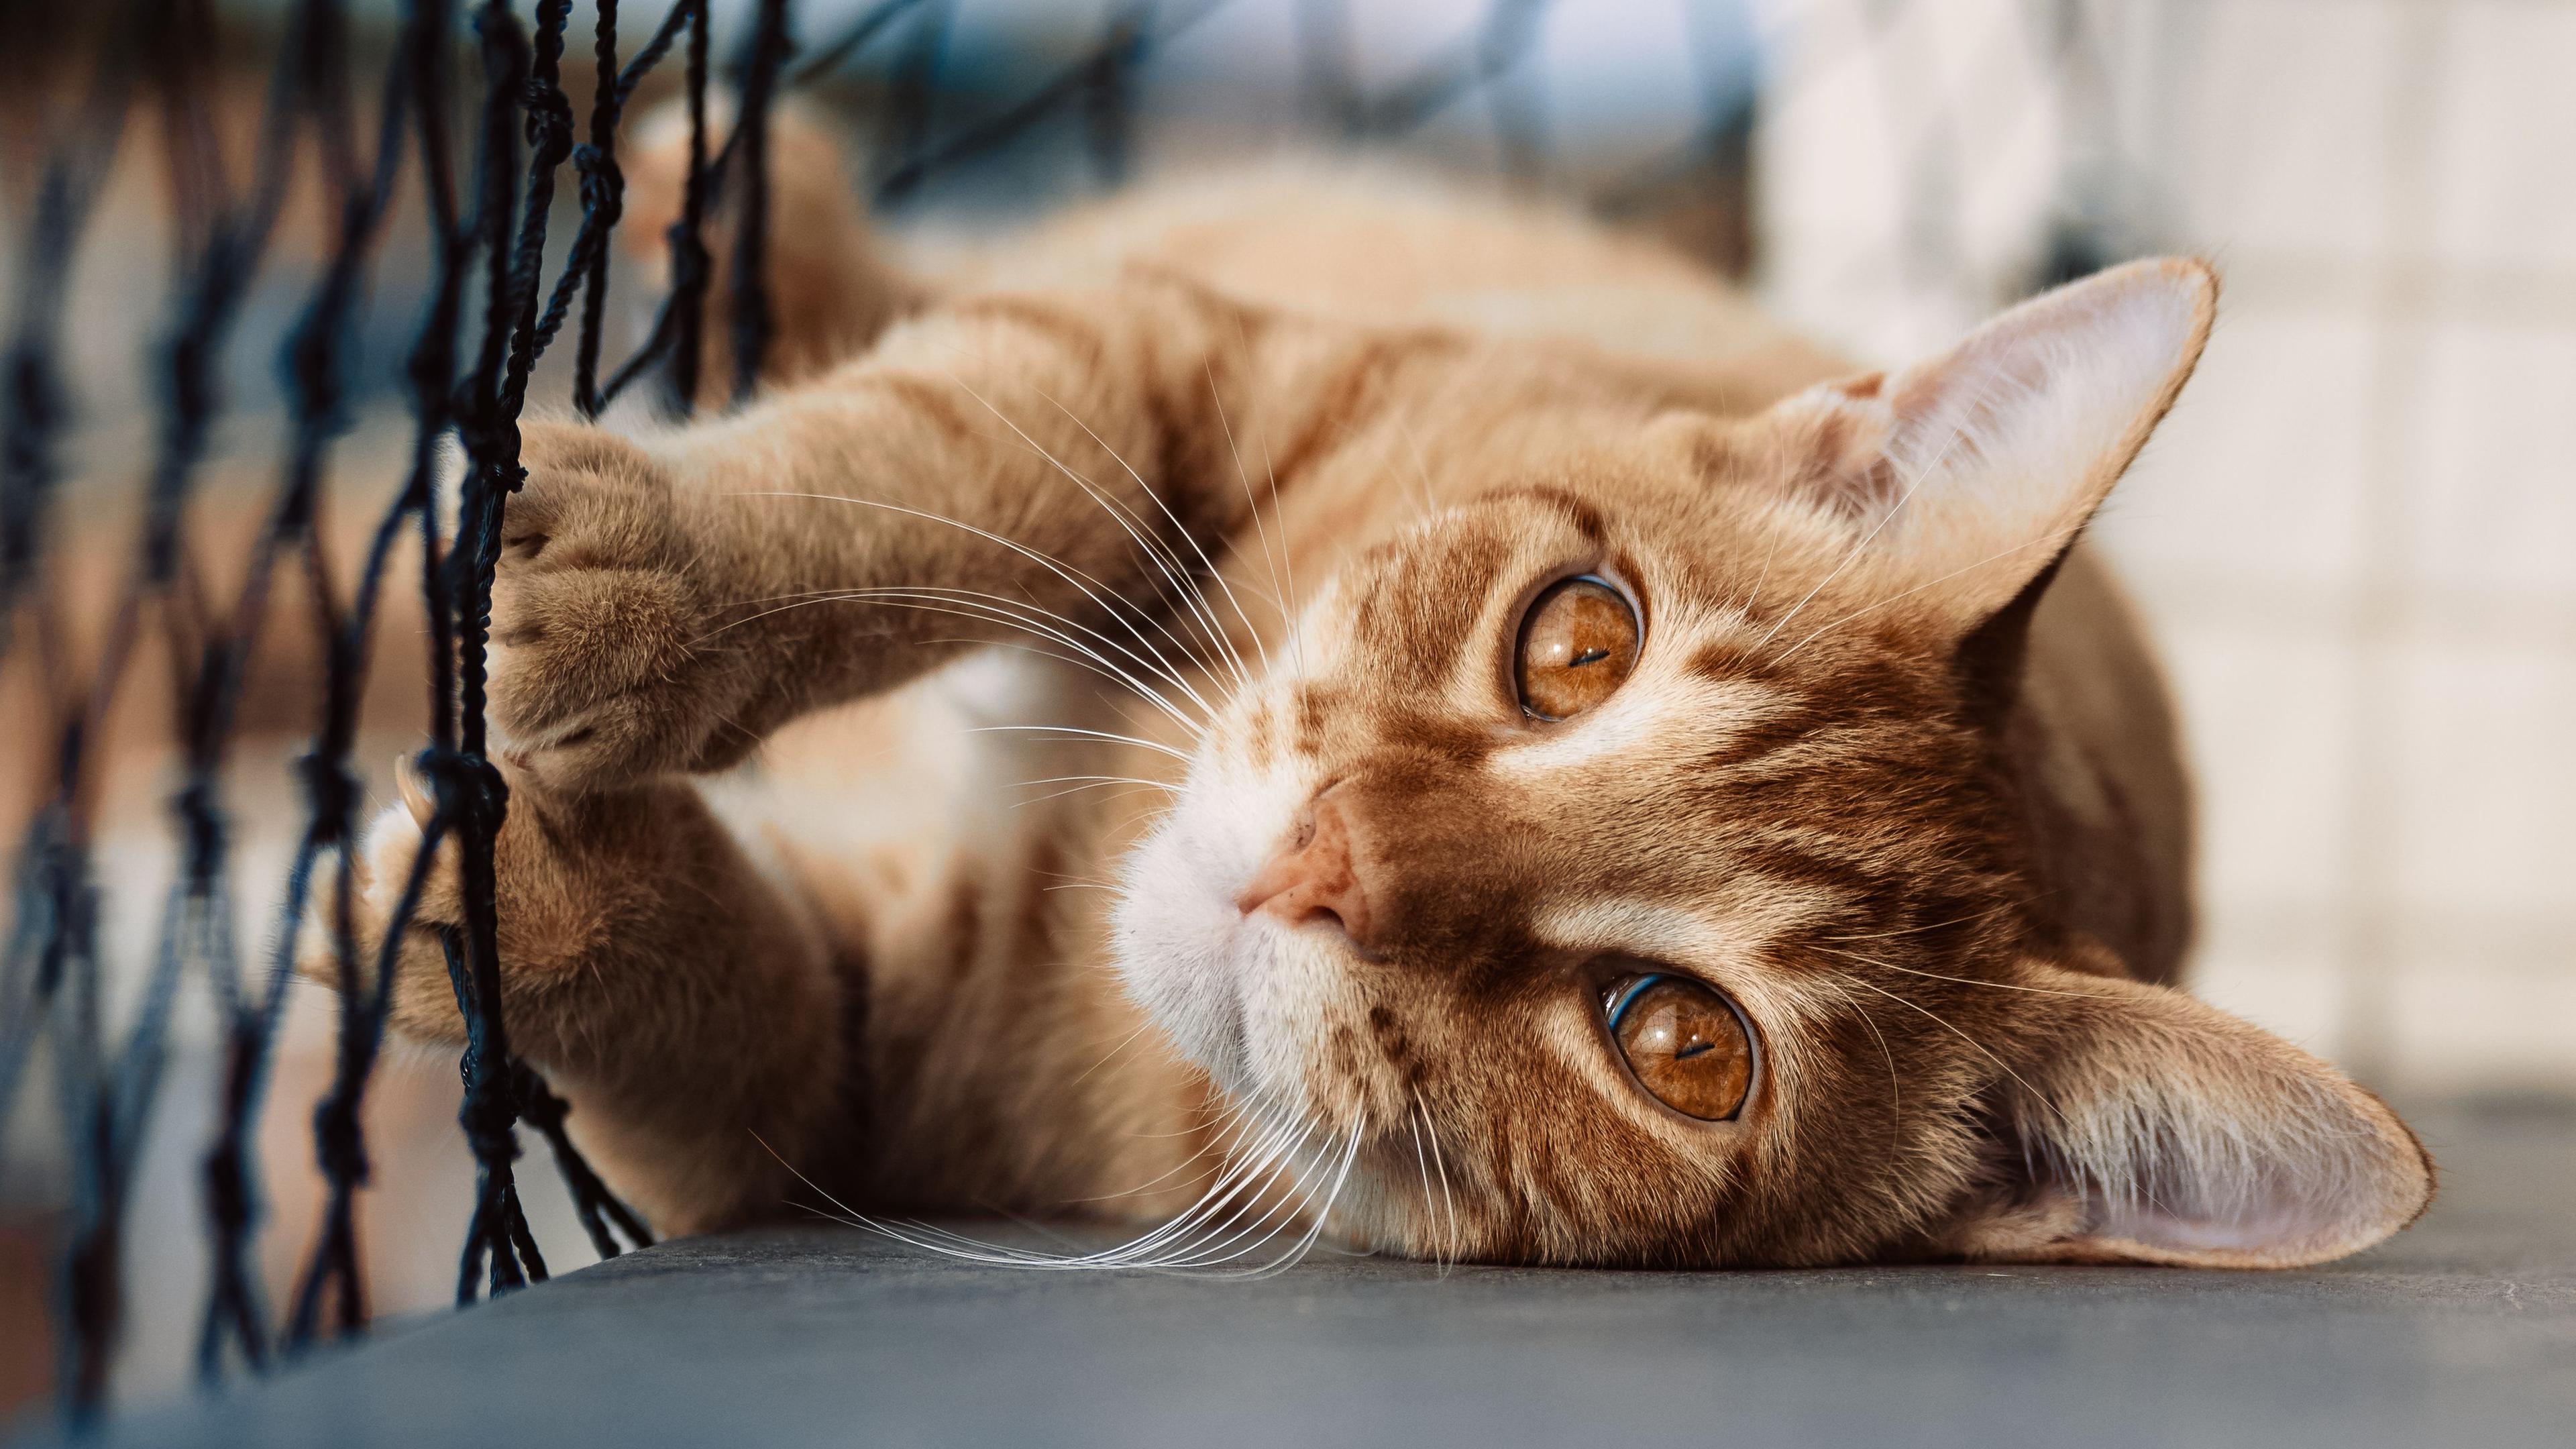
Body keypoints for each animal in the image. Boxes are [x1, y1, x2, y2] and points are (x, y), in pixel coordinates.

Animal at [311, 121, 2421, 1263]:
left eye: (1681, 1043)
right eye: (1577, 641)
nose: (1327, 855)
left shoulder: (841, 1082)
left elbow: (707, 993)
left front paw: (488, 898)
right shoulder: (1170, 358)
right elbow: (917, 471)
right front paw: (660, 577)